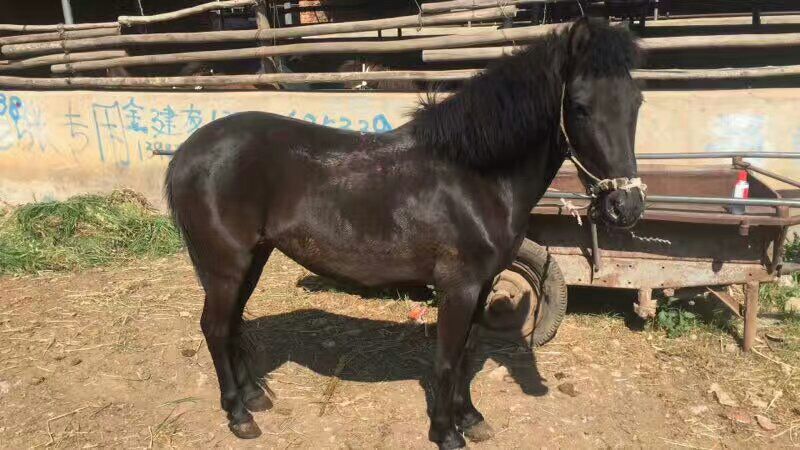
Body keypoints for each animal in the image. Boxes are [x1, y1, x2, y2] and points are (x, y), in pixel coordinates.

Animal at [165, 17, 645, 449]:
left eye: (637, 102)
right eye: (580, 106)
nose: (626, 206)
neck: (474, 176)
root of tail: (188, 150)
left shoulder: (484, 284)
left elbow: (468, 352)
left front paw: (471, 419)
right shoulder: (458, 287)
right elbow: (448, 359)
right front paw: (446, 432)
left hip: (253, 258)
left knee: (232, 325)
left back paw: (254, 397)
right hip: (226, 265)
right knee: (215, 327)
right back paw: (239, 415)